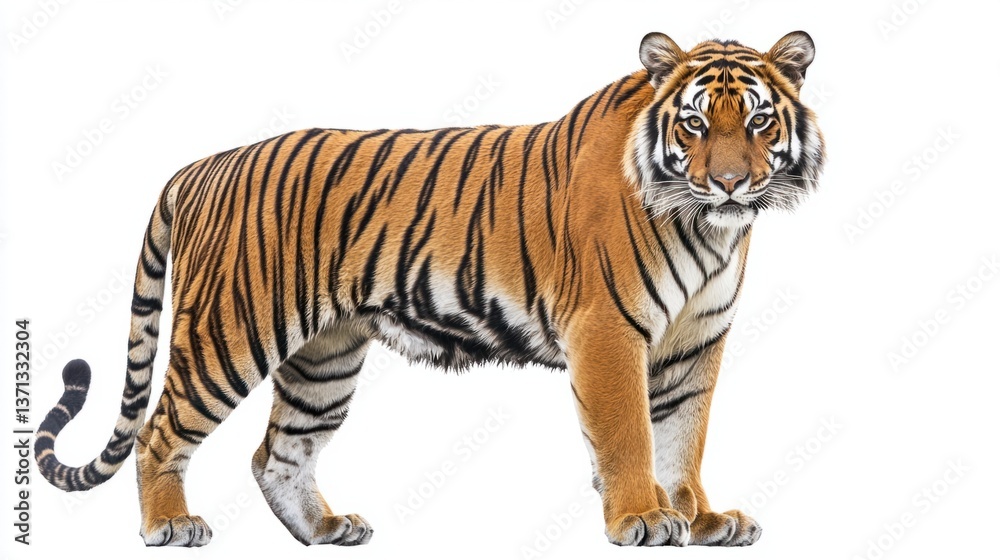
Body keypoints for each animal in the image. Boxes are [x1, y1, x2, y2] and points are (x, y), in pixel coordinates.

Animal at [35, 30, 824, 548]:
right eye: (694, 124)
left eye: (759, 120)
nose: (730, 182)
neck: (708, 226)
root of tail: (201, 165)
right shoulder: (607, 329)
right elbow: (630, 433)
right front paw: (643, 519)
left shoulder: (695, 342)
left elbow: (683, 437)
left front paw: (701, 519)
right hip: (228, 332)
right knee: (159, 431)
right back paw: (169, 525)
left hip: (325, 357)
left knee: (277, 454)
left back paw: (326, 529)